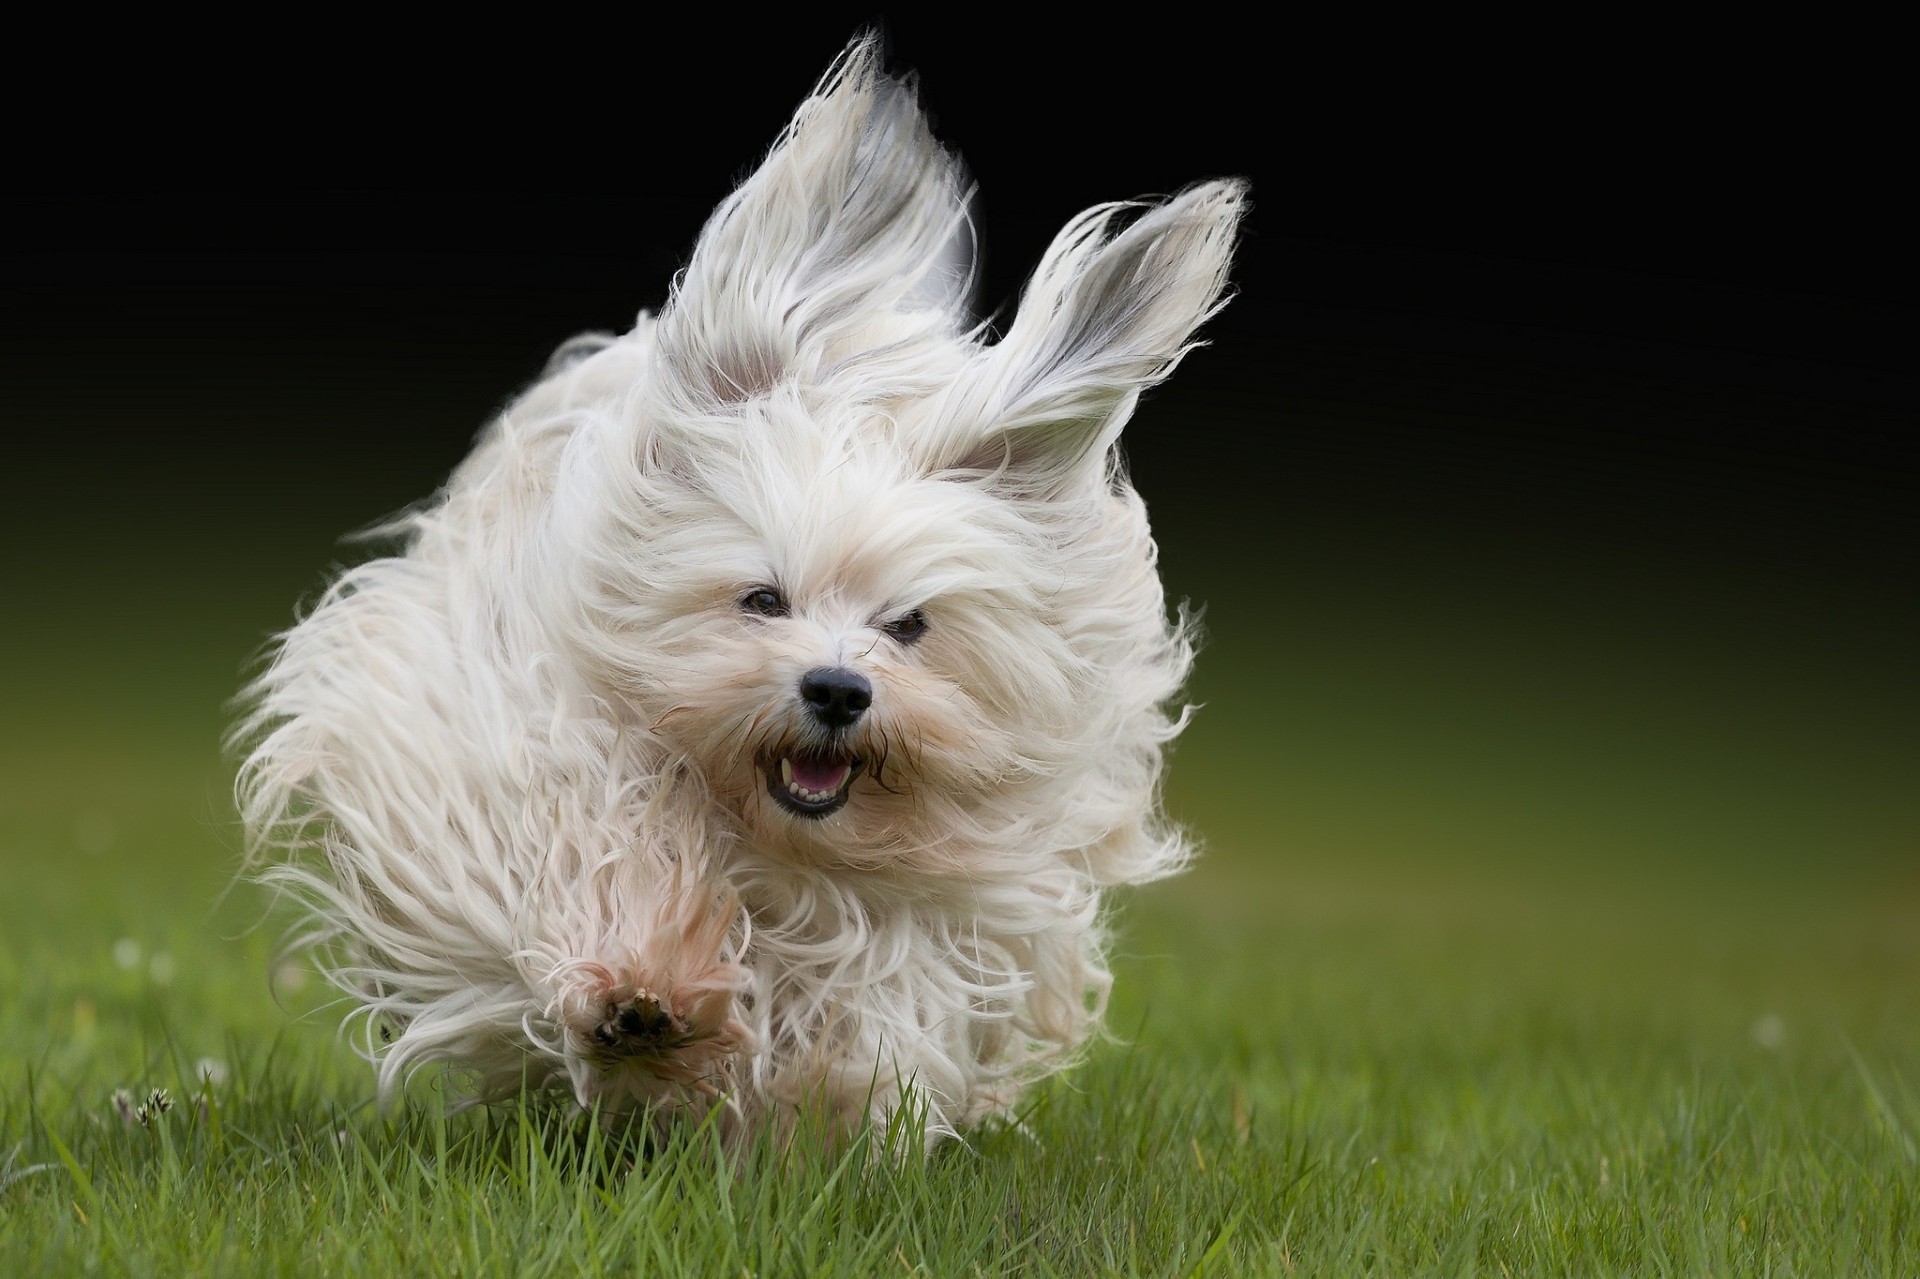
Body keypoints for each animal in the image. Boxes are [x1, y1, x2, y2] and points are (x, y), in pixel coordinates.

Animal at [232, 37, 1244, 1144]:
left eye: (910, 624)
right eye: (762, 598)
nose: (837, 690)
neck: (768, 835)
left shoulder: (958, 906)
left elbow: (870, 1001)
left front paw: (799, 1096)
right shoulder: (489, 740)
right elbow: (579, 846)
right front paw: (640, 988)